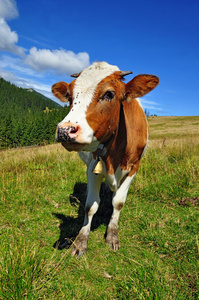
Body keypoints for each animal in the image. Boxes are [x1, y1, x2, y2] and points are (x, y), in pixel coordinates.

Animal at [51, 61, 159, 255]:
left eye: (109, 94)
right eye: (69, 96)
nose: (64, 130)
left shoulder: (134, 167)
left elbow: (118, 202)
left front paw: (112, 235)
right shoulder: (93, 166)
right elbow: (90, 206)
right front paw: (81, 241)